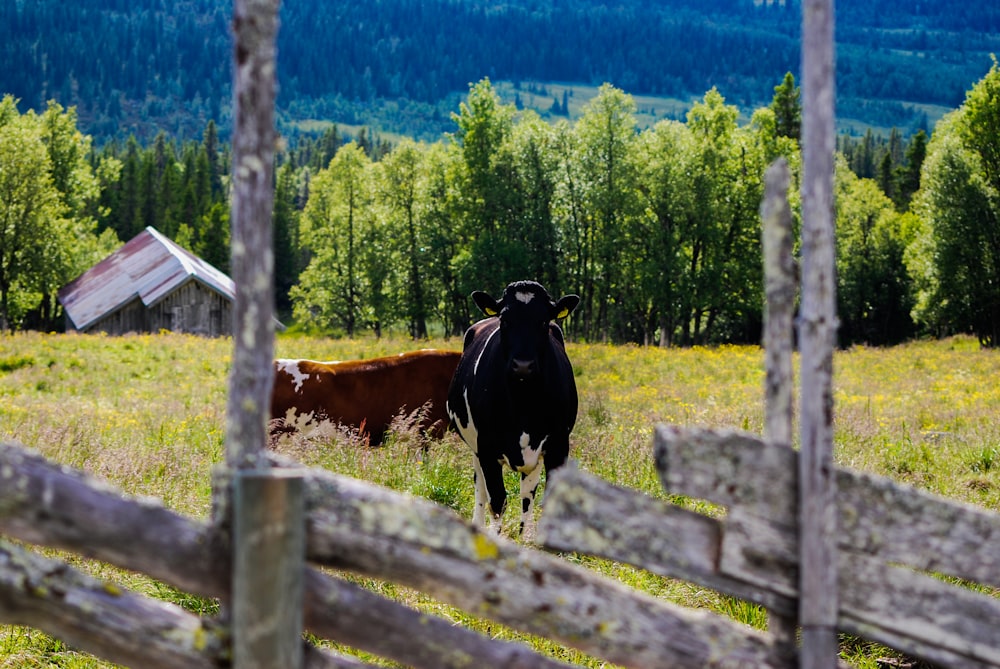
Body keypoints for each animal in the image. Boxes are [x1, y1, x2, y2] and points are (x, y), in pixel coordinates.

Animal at [446, 280, 580, 540]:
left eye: (543, 321)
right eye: (505, 320)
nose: (523, 365)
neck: (523, 402)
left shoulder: (558, 444)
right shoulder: (486, 447)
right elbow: (497, 500)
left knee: (527, 493)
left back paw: (523, 533)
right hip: (476, 448)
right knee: (480, 489)